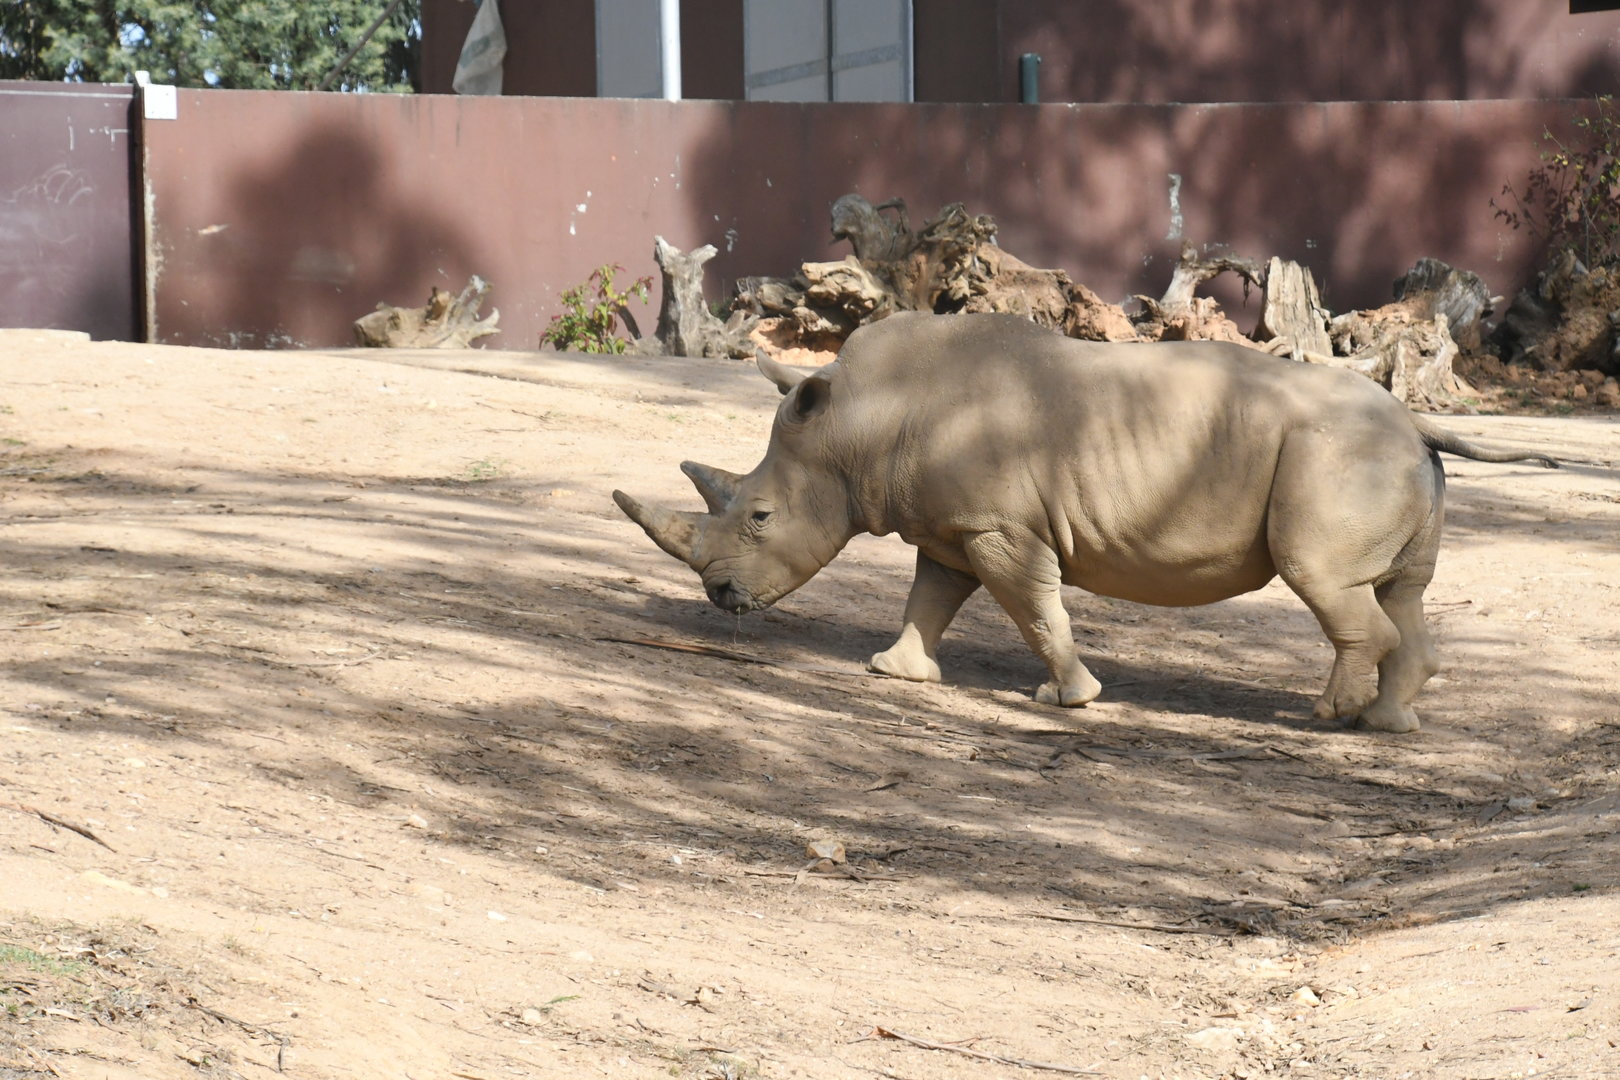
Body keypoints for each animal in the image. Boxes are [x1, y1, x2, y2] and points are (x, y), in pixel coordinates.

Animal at [613, 312, 1556, 733]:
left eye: (761, 515)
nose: (719, 597)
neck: (855, 426)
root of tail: (1417, 421)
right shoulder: (952, 525)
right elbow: (931, 597)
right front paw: (895, 673)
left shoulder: (998, 524)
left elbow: (1034, 607)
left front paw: (1068, 699)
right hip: (1371, 454)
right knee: (1399, 591)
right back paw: (1387, 725)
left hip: (1335, 457)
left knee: (1323, 578)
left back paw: (1328, 717)